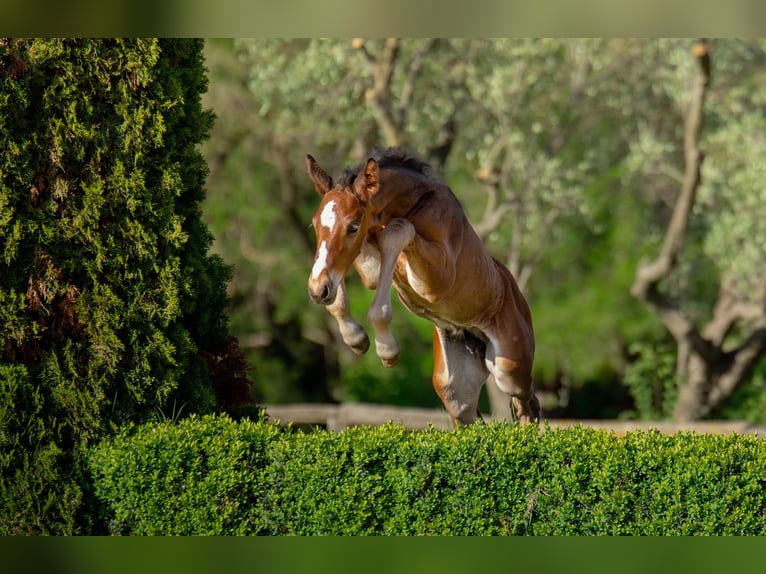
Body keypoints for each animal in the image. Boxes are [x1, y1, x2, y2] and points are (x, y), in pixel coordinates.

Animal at [306, 148, 541, 425]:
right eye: (315, 224)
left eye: (353, 227)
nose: (317, 291)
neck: (413, 204)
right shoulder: (372, 269)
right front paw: (356, 338)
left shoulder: (438, 280)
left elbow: (397, 232)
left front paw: (387, 350)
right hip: (454, 387)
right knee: (470, 416)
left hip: (509, 368)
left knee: (527, 402)